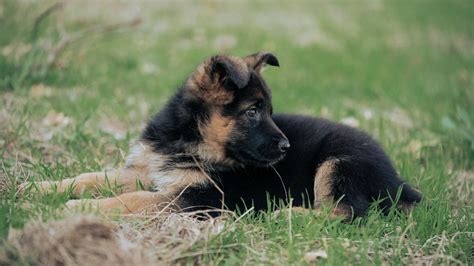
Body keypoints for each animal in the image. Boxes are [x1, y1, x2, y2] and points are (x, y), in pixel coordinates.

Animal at [24, 51, 420, 218]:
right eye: (253, 111)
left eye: (269, 111)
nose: (286, 146)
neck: (189, 140)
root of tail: (397, 181)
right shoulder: (147, 171)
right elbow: (90, 177)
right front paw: (39, 190)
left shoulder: (202, 196)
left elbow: (134, 201)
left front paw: (82, 208)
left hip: (338, 162)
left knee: (350, 212)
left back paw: (288, 215)